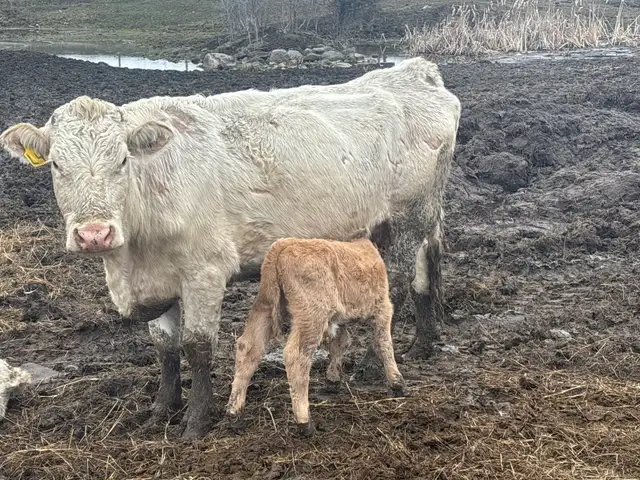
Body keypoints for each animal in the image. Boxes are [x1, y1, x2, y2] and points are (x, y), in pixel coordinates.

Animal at [226, 235, 406, 436]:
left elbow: (341, 342)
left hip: (264, 307)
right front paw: (397, 382)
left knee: (248, 347)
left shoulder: (339, 319)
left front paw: (333, 378)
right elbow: (384, 343)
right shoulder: (383, 307)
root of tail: (284, 244)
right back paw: (304, 422)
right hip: (312, 316)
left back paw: (235, 412)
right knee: (296, 356)